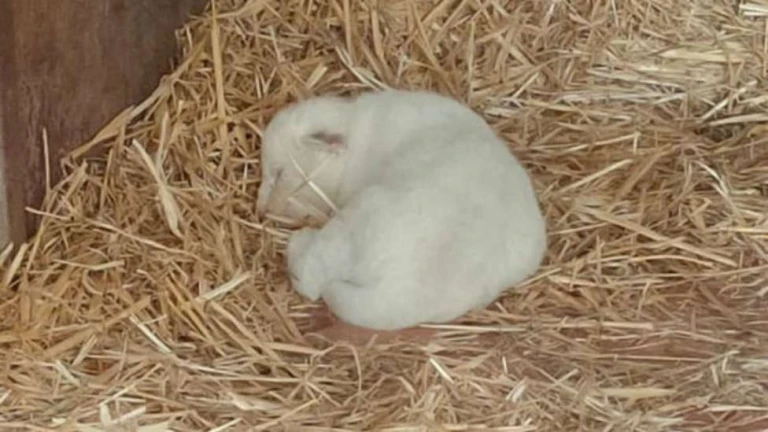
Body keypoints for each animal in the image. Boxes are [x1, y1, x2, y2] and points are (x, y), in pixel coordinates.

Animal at [260, 89, 547, 331]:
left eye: (279, 173)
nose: (262, 210)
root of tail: (401, 295)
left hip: (359, 218)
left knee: (311, 276)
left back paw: (298, 243)